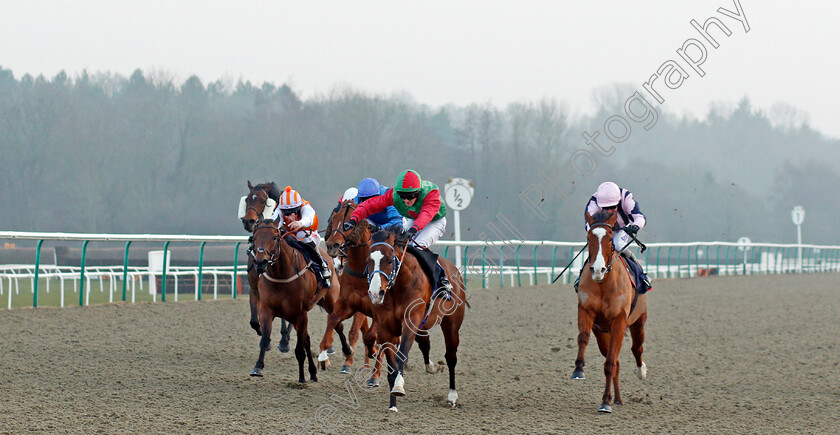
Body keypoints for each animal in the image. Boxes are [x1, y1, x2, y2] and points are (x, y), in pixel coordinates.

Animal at [241, 181, 294, 354]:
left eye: (264, 201)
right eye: (247, 199)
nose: (248, 221)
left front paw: (283, 340)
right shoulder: (254, 287)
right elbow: (254, 320)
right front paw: (264, 337)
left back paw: (285, 339)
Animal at [246, 218, 348, 382]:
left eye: (275, 237)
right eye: (254, 238)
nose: (261, 262)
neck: (281, 275)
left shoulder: (299, 313)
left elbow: (300, 349)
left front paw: (301, 378)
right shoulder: (266, 310)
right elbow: (265, 339)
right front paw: (258, 367)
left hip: (330, 302)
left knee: (338, 325)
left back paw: (347, 350)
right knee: (308, 338)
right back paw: (313, 372)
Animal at [368, 230, 470, 414]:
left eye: (389, 260)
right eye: (368, 260)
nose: (375, 293)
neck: (399, 286)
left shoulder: (411, 321)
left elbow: (402, 354)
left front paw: (399, 387)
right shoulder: (385, 328)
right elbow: (392, 366)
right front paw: (392, 404)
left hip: (451, 324)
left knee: (451, 357)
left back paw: (452, 396)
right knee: (425, 342)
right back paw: (432, 367)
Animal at [576, 211, 648, 416]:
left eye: (609, 237)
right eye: (588, 238)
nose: (598, 269)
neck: (603, 283)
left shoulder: (619, 321)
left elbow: (609, 363)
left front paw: (605, 402)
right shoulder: (586, 311)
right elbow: (583, 337)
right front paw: (578, 369)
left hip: (639, 322)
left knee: (636, 349)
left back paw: (640, 371)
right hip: (602, 333)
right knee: (616, 361)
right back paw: (617, 398)